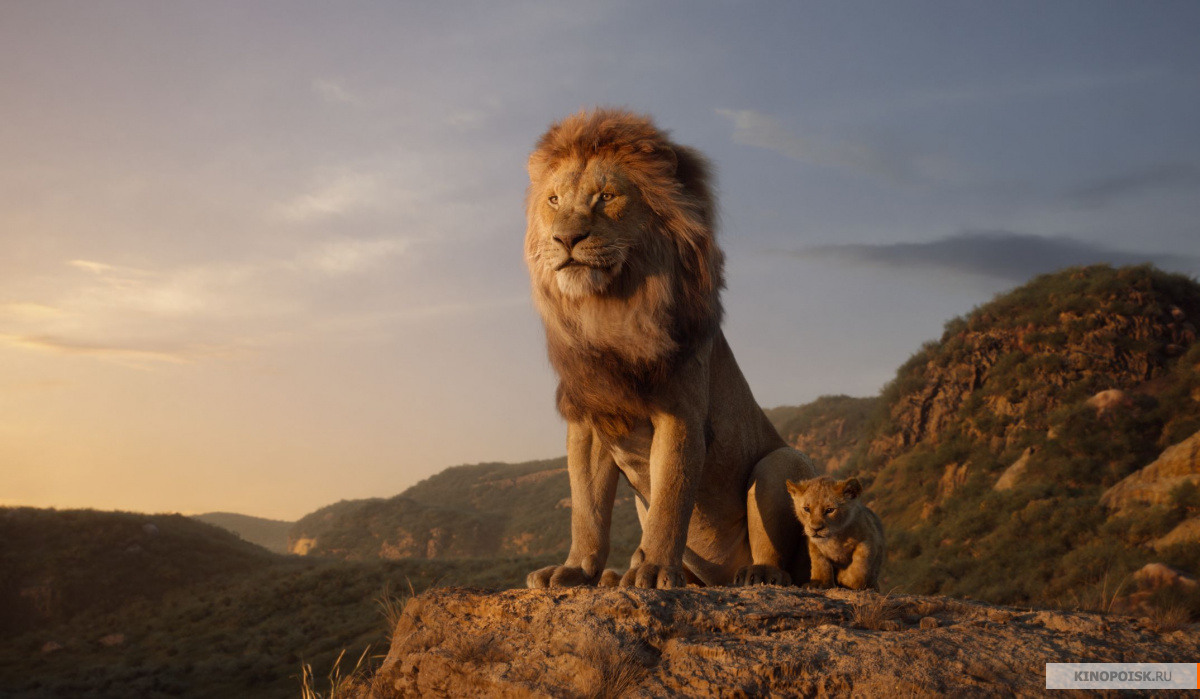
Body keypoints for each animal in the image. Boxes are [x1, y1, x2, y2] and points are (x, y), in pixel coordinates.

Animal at [523, 108, 818, 589]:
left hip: (782, 462)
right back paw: (616, 575)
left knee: (781, 557)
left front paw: (656, 569)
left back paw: (757, 574)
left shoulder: (680, 414)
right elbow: (587, 509)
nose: (565, 239)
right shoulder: (589, 419)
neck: (609, 311)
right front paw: (576, 570)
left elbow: (671, 499)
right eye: (553, 200)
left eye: (606, 197)